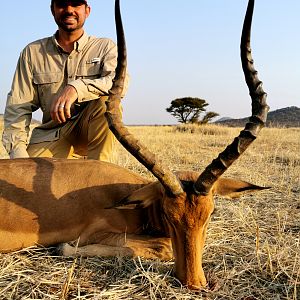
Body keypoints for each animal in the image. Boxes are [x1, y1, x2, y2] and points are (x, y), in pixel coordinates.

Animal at [0, 0, 268, 290]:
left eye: (209, 215)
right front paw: (62, 247)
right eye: (170, 216)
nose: (193, 283)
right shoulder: (97, 233)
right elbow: (162, 246)